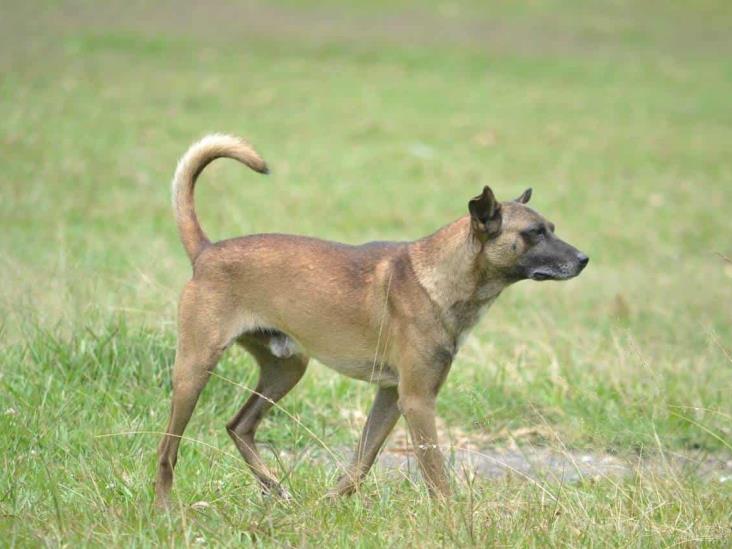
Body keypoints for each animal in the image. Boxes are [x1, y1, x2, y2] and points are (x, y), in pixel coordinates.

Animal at [154, 134, 588, 506]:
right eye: (534, 233)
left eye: (551, 229)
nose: (584, 259)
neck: (439, 276)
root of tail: (207, 252)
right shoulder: (417, 401)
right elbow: (435, 475)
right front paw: (452, 520)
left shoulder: (391, 396)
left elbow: (361, 461)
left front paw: (328, 505)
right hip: (195, 369)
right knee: (167, 449)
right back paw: (165, 509)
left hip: (287, 367)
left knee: (239, 426)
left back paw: (275, 489)